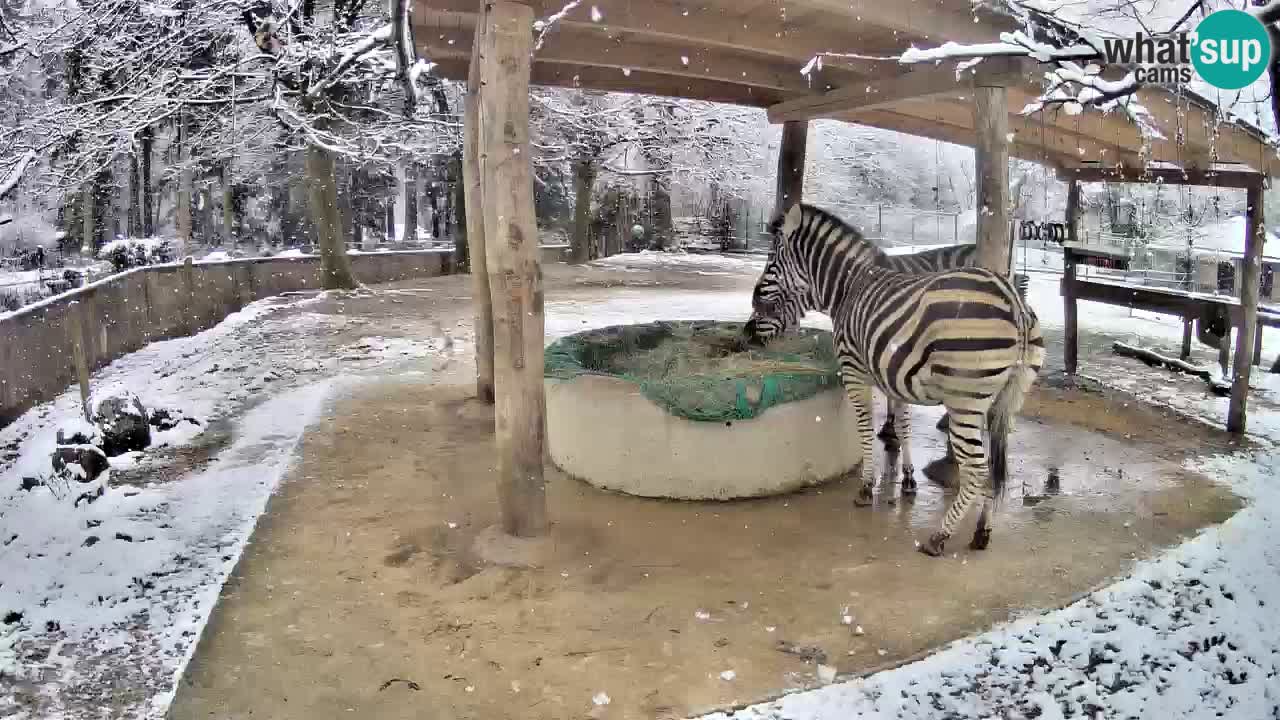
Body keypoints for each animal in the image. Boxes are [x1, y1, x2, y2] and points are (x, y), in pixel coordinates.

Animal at [747, 202, 1044, 556]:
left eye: (771, 260)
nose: (747, 333)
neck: (848, 288)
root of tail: (1013, 298)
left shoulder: (854, 370)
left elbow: (864, 426)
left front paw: (866, 487)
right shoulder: (897, 376)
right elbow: (903, 425)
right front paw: (908, 480)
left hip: (964, 400)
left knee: (977, 469)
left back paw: (939, 537)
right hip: (1005, 402)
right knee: (995, 469)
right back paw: (981, 532)